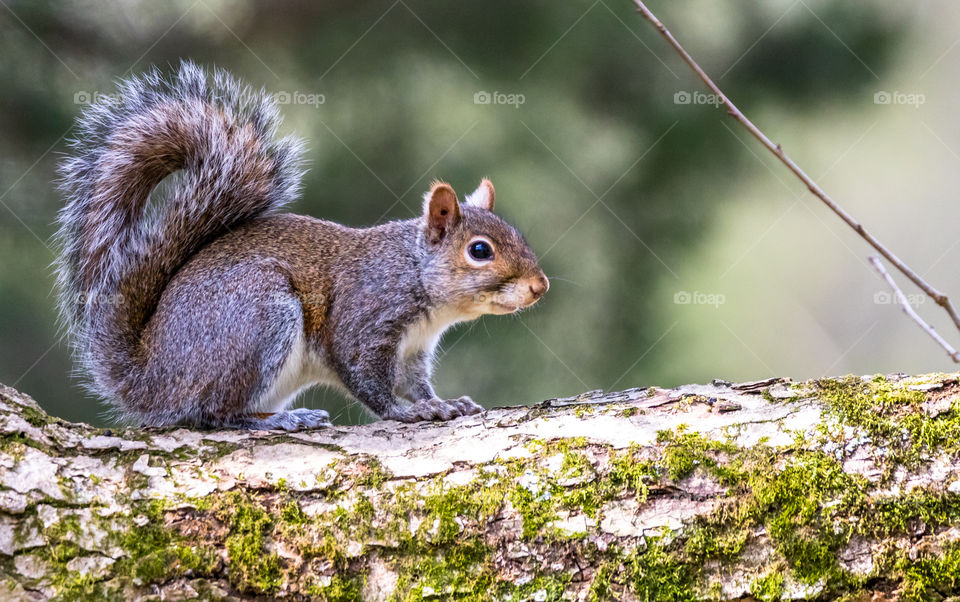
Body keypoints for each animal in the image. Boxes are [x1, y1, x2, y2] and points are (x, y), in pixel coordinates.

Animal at [54, 61, 549, 431]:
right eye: (480, 251)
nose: (539, 286)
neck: (413, 273)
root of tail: (149, 377)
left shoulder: (414, 351)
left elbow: (414, 382)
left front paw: (444, 402)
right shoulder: (364, 321)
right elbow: (367, 379)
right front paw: (408, 412)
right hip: (256, 317)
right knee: (212, 413)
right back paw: (279, 421)